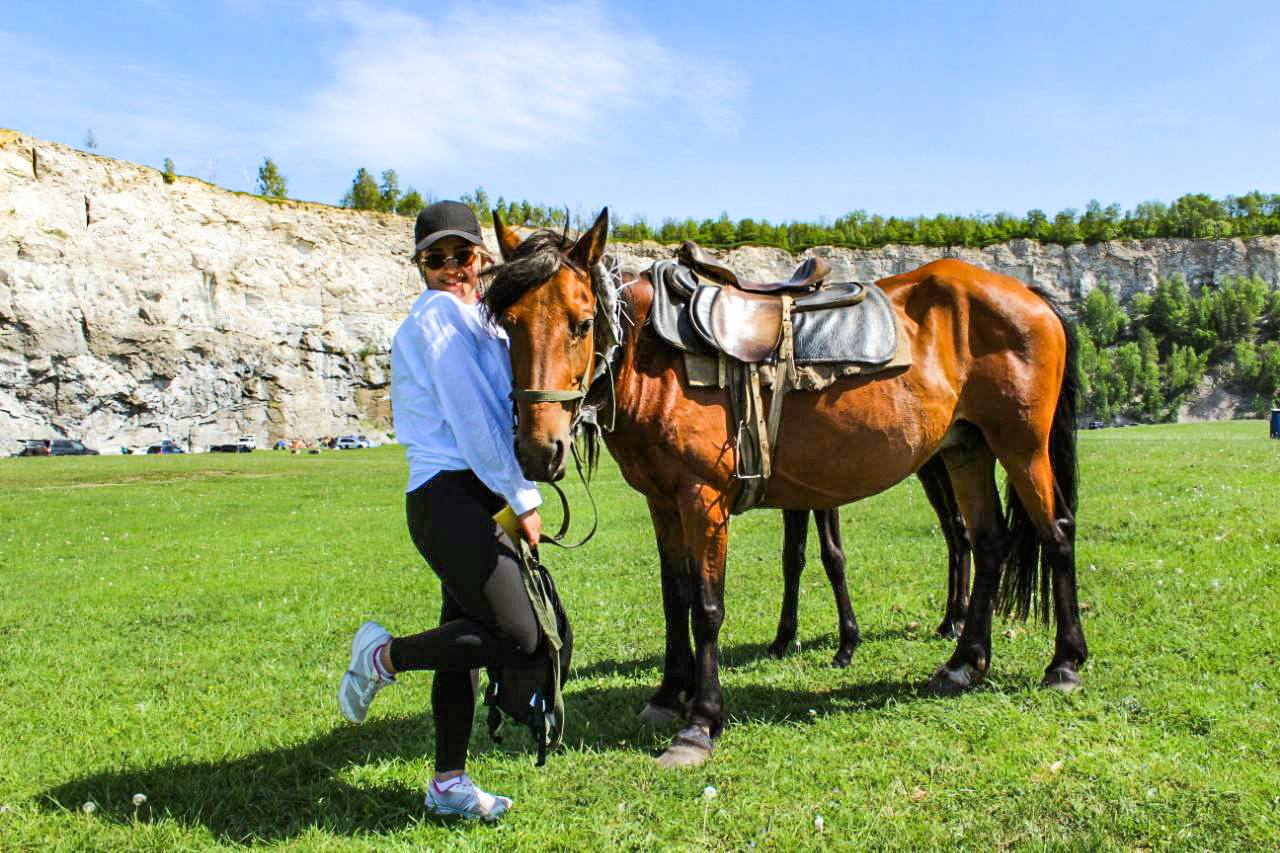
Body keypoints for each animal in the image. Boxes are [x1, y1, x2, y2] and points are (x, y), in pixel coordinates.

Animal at [483, 208, 1085, 768]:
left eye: (583, 323)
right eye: (507, 324)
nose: (538, 450)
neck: (655, 359)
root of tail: (1029, 295)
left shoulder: (703, 499)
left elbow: (706, 606)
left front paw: (700, 722)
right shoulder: (663, 502)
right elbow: (674, 597)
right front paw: (668, 694)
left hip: (1021, 447)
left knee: (1055, 533)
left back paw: (1064, 663)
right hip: (966, 450)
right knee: (989, 543)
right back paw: (964, 662)